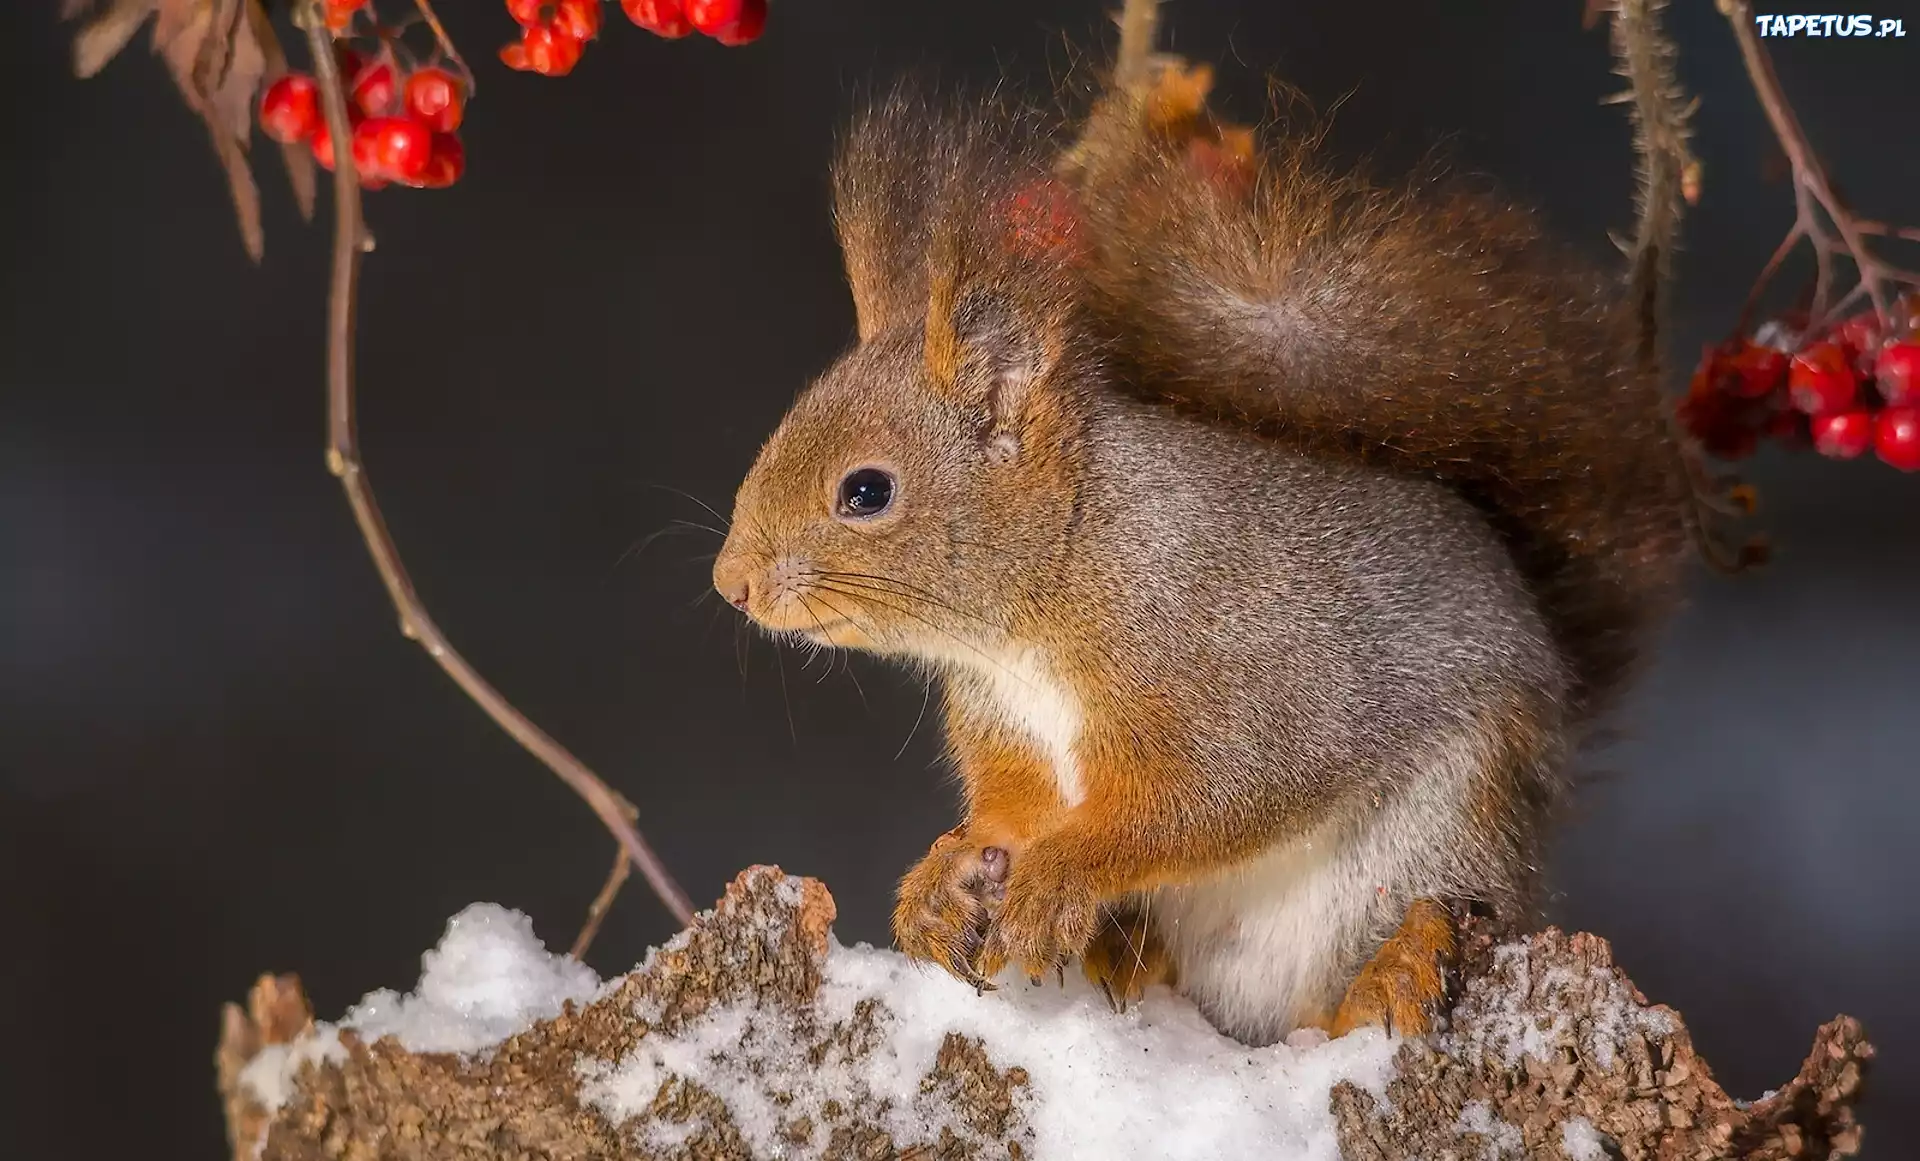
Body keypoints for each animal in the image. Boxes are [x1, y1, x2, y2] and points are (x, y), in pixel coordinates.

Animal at [710, 4, 1697, 1043]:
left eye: (865, 492)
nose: (731, 582)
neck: (1061, 576)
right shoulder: (1015, 731)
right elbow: (1013, 812)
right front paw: (948, 871)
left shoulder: (1237, 680)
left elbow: (1207, 799)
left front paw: (1065, 873)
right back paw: (1125, 952)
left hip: (1439, 839)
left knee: (1389, 951)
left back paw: (1388, 975)